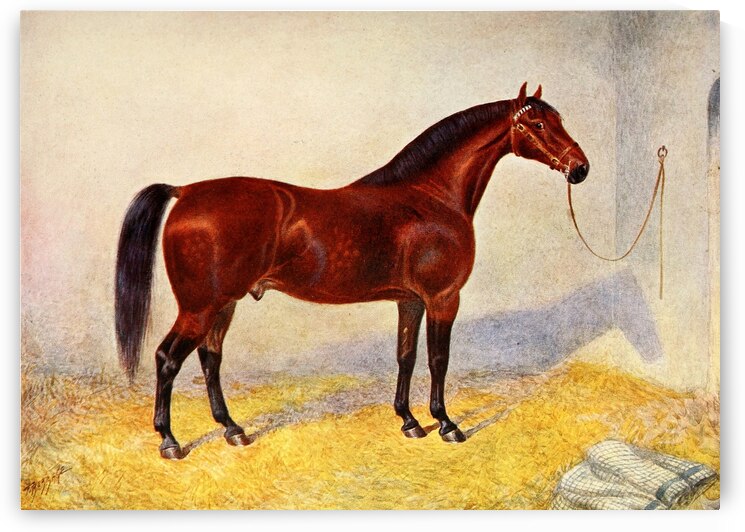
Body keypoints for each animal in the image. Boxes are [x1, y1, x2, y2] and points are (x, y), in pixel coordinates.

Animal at [115, 83, 589, 460]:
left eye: (558, 120)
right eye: (539, 125)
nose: (580, 168)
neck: (429, 196)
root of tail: (186, 192)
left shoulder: (410, 301)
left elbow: (405, 356)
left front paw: (410, 422)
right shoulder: (443, 298)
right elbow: (438, 359)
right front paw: (447, 424)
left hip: (223, 305)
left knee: (210, 359)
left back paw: (233, 430)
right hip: (199, 307)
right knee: (167, 359)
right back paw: (170, 441)